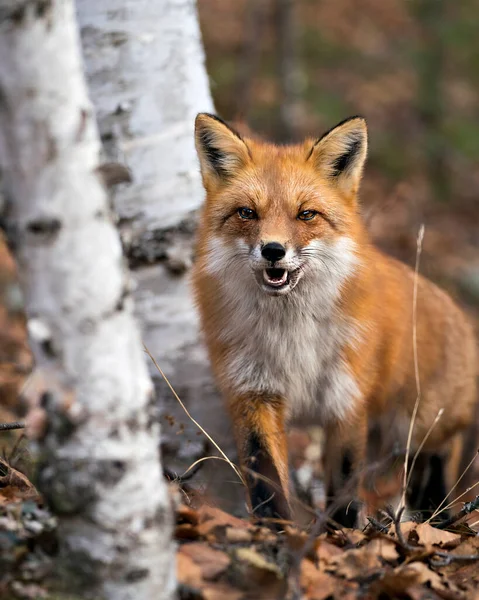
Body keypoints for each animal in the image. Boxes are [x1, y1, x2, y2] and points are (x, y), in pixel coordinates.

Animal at [193, 113, 478, 524]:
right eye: (247, 212)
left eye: (306, 214)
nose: (273, 250)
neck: (289, 335)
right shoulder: (252, 392)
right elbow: (265, 476)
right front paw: (275, 530)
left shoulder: (345, 398)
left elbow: (343, 486)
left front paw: (340, 533)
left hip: (418, 427)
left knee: (439, 459)